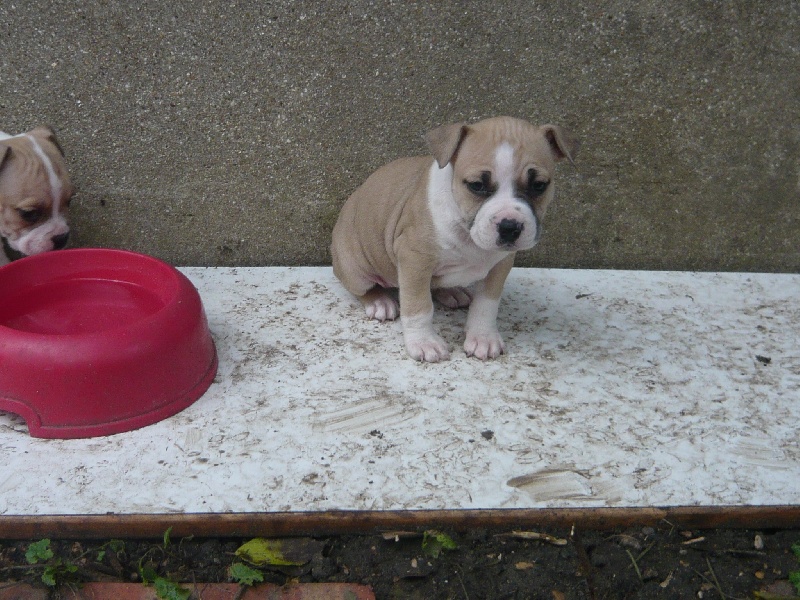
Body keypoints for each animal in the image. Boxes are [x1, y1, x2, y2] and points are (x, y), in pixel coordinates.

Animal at [328, 115, 580, 364]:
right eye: (477, 185)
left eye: (539, 185)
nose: (510, 227)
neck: (466, 229)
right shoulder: (415, 260)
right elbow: (419, 306)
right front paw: (424, 342)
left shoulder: (500, 264)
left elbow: (486, 304)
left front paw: (483, 337)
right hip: (355, 270)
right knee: (362, 288)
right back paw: (379, 301)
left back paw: (452, 292)